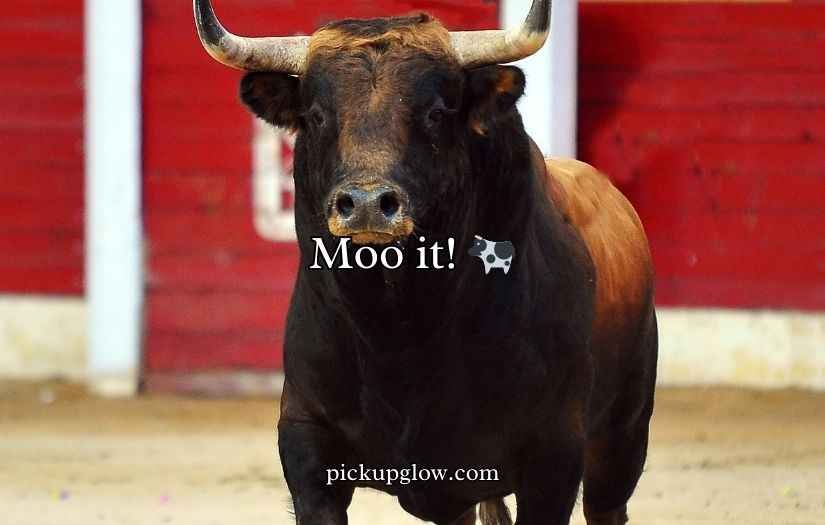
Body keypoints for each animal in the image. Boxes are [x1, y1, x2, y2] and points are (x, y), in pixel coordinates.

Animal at [194, 1, 658, 524]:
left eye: (436, 112)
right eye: (315, 116)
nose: (367, 204)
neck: (401, 332)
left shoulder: (554, 457)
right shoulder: (307, 441)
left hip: (622, 436)